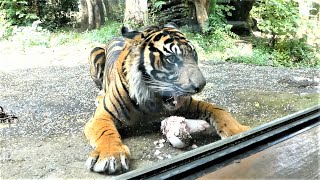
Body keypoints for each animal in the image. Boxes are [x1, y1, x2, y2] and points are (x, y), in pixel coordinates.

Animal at [84, 23, 250, 174]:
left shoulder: (189, 104)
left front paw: (238, 131)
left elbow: (218, 110)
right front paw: (110, 155)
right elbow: (106, 132)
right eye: (171, 59)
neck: (153, 101)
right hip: (94, 52)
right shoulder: (102, 115)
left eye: (194, 54)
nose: (201, 85)